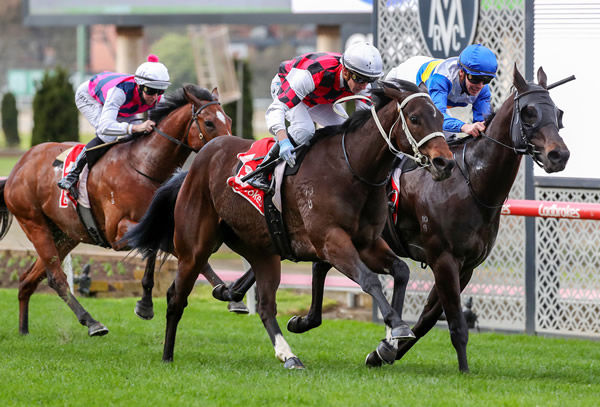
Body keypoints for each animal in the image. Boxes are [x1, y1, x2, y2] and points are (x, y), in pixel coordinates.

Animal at [0, 85, 232, 338]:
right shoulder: (118, 232)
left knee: (28, 279)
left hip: (66, 235)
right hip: (34, 223)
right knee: (56, 278)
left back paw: (23, 330)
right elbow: (162, 247)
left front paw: (226, 292)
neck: (144, 165)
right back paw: (92, 322)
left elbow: (167, 249)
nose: (227, 150)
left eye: (228, 119)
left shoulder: (151, 223)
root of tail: (18, 167)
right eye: (209, 122)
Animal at [123, 80, 454, 370]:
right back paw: (167, 355)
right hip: (196, 247)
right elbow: (370, 280)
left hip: (263, 253)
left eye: (440, 116)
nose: (445, 163)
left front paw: (388, 342)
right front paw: (396, 327)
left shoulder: (367, 242)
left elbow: (400, 271)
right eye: (414, 118)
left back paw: (288, 355)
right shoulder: (331, 241)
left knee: (266, 307)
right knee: (176, 298)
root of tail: (197, 163)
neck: (352, 170)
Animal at [252, 64, 568, 372]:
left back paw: (301, 320)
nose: (559, 155)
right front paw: (464, 371)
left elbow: (427, 319)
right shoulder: (444, 258)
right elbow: (455, 322)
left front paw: (383, 351)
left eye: (559, 113)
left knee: (319, 265)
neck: (471, 183)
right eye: (528, 113)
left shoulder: (467, 267)